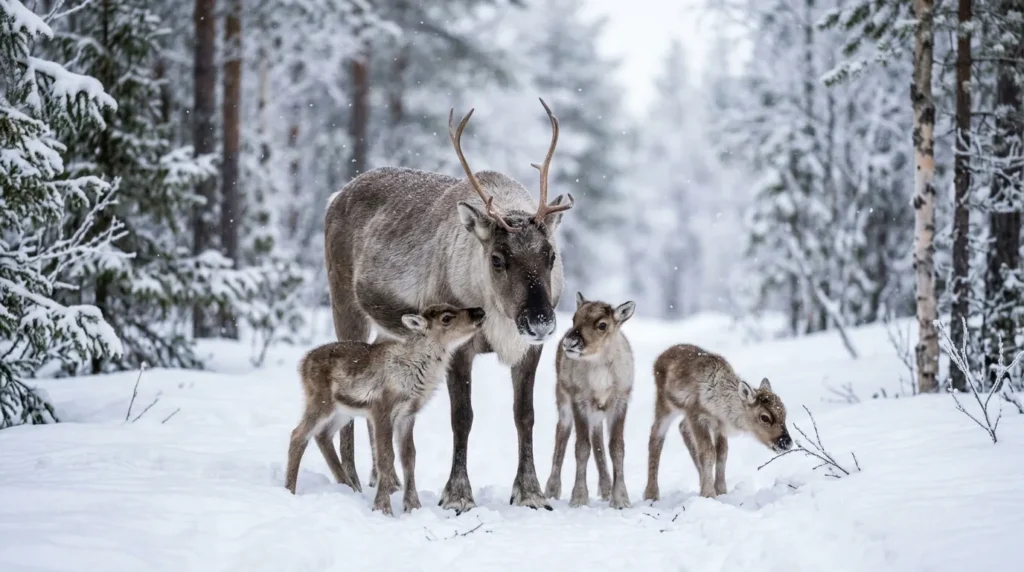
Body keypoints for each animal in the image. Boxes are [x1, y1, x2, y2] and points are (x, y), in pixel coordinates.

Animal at [284, 304, 486, 516]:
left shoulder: (407, 415)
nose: (479, 311)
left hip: (342, 411)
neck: (415, 371)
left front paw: (413, 505)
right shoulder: (381, 409)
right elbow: (386, 457)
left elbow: (409, 457)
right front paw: (383, 508)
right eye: (446, 318)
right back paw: (290, 489)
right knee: (298, 434)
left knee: (322, 435)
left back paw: (350, 488)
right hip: (320, 401)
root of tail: (302, 363)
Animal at [323, 99, 573, 513]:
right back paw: (352, 481)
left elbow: (525, 415)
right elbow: (463, 417)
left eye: (550, 255)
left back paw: (386, 479)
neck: (499, 322)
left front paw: (531, 493)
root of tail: (335, 195)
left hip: (390, 327)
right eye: (498, 259)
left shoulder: (529, 350)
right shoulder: (458, 346)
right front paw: (457, 495)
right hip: (344, 301)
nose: (540, 322)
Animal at [544, 292, 635, 509]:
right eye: (574, 318)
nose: (570, 342)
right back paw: (552, 489)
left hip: (597, 413)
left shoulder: (619, 402)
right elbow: (581, 448)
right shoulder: (580, 402)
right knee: (561, 438)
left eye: (602, 325)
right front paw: (578, 497)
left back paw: (606, 488)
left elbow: (616, 448)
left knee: (598, 440)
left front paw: (620, 498)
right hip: (564, 402)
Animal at [643, 344, 793, 501]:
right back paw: (651, 494)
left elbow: (722, 453)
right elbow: (708, 452)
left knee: (682, 427)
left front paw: (720, 490)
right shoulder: (697, 417)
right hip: (665, 404)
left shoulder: (720, 426)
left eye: (784, 413)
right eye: (765, 417)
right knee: (656, 435)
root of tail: (658, 358)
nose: (786, 442)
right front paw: (708, 493)